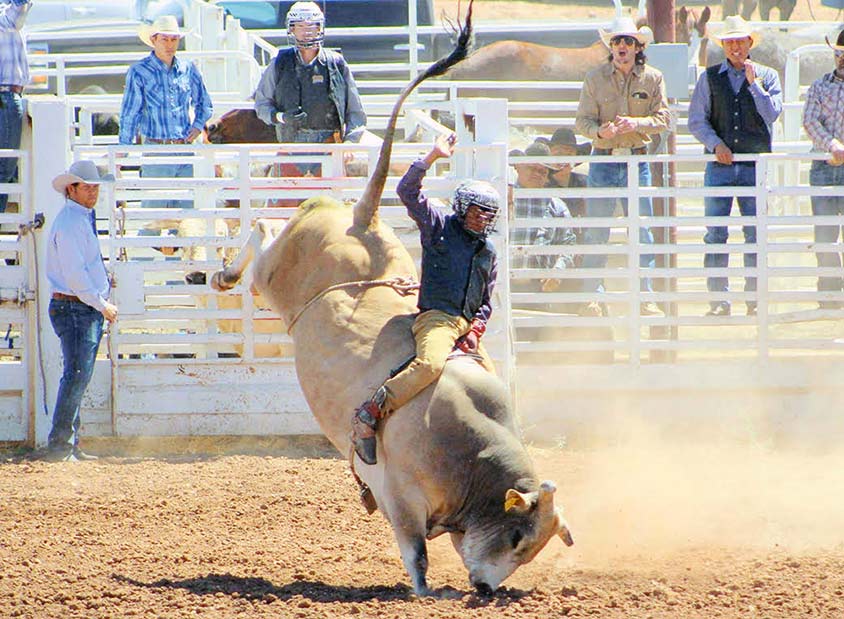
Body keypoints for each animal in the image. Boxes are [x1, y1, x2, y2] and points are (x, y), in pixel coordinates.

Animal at [209, 1, 572, 600]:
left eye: (533, 547)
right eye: (518, 536)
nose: (488, 590)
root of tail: (365, 221)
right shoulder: (399, 498)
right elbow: (416, 553)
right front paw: (424, 592)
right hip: (275, 273)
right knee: (261, 231)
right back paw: (219, 272)